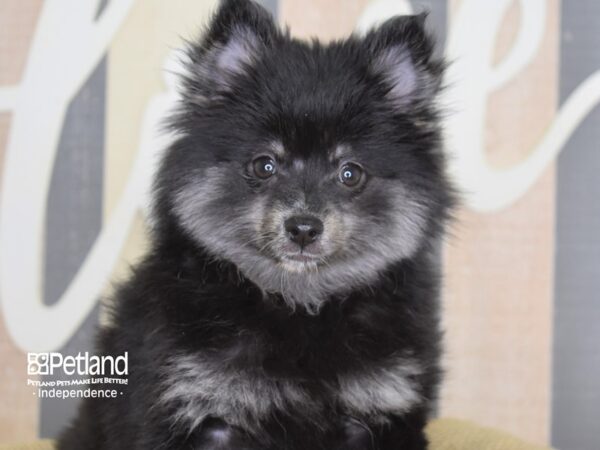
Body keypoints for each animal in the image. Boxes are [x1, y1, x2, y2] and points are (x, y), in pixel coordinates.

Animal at [57, 0, 454, 450]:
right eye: (264, 165)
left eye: (350, 173)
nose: (303, 227)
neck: (298, 307)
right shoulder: (195, 408)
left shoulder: (381, 408)